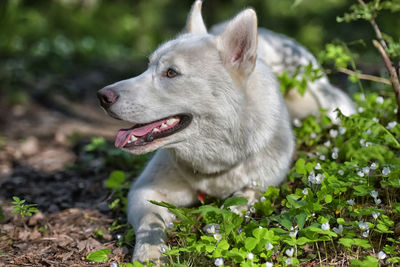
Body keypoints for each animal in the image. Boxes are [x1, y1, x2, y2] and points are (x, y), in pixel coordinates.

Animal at [97, 0, 354, 264]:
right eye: (147, 68)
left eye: (171, 72)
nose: (102, 96)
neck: (215, 161)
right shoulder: (144, 191)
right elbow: (151, 221)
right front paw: (149, 253)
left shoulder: (263, 183)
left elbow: (242, 199)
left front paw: (222, 221)